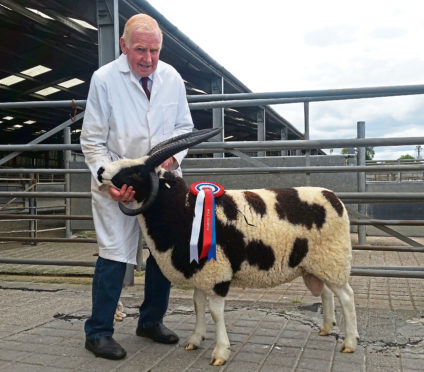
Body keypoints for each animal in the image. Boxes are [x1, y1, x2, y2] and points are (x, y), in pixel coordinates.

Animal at [97, 129, 360, 366]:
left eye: (137, 172)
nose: (100, 171)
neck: (183, 210)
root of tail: (333, 197)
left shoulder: (216, 272)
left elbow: (215, 312)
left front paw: (220, 352)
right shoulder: (199, 270)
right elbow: (197, 304)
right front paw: (194, 340)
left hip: (333, 260)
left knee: (346, 296)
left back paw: (349, 342)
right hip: (315, 265)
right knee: (326, 293)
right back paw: (326, 329)